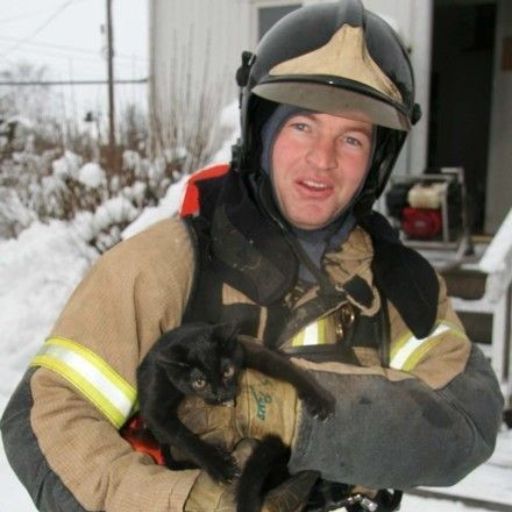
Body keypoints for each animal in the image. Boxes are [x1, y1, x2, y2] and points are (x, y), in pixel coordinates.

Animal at [136, 321, 335, 484]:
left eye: (227, 371)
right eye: (199, 382)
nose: (220, 393)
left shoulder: (247, 351)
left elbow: (286, 368)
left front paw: (320, 398)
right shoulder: (155, 406)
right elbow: (184, 437)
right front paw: (219, 465)